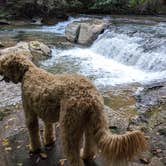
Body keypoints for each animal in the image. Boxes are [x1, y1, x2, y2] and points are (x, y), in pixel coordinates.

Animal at [0, 53, 148, 166]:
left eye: (3, 64)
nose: (0, 73)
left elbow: (33, 131)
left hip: (68, 127)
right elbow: (48, 127)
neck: (28, 71)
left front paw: (34, 148)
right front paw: (49, 141)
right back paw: (86, 155)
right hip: (89, 123)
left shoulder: (29, 111)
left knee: (73, 156)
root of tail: (91, 96)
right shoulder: (47, 113)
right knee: (89, 145)